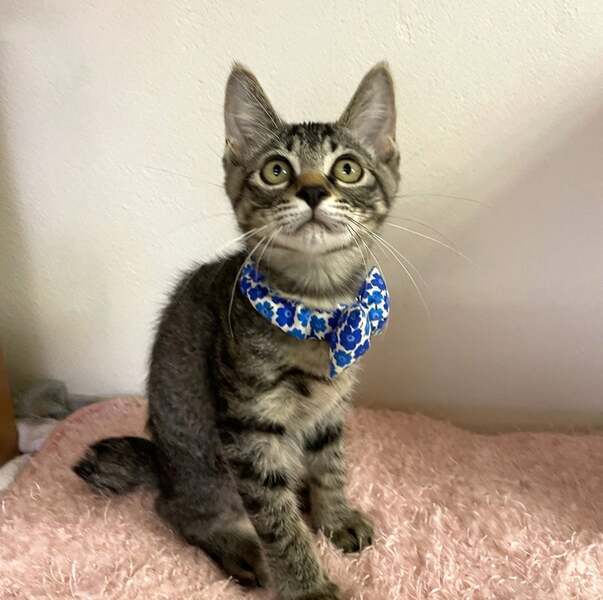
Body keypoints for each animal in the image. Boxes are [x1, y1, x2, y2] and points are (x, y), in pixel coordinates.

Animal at [74, 61, 399, 600]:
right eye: (277, 170)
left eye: (348, 168)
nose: (313, 190)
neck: (315, 310)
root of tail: (164, 467)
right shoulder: (249, 428)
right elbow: (278, 523)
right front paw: (307, 586)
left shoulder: (332, 407)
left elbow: (330, 464)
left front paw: (333, 516)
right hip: (206, 462)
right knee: (177, 510)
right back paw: (240, 549)